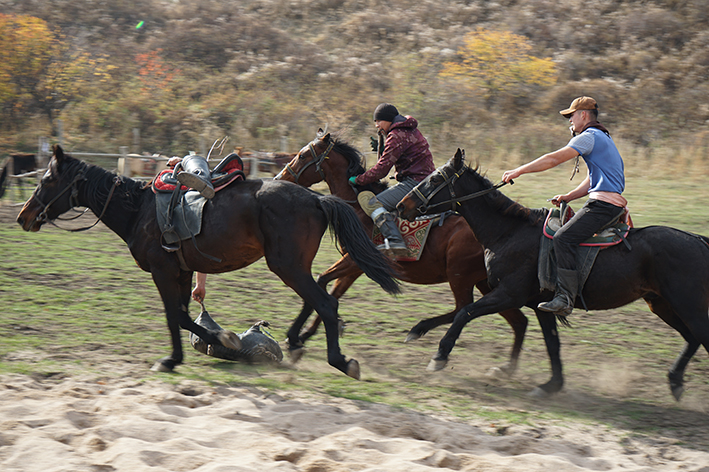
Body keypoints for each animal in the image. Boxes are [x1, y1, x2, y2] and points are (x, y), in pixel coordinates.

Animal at [15, 146, 398, 378]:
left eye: (47, 180)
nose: (23, 216)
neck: (139, 209)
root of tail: (318, 199)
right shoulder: (182, 272)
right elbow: (185, 315)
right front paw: (223, 342)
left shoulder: (162, 272)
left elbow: (174, 316)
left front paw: (176, 357)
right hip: (294, 268)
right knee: (319, 300)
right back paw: (299, 345)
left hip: (287, 266)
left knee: (326, 303)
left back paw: (340, 361)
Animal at [274, 133, 528, 376]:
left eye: (303, 155)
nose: (279, 178)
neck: (357, 208)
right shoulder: (356, 267)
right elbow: (333, 293)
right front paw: (309, 334)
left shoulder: (353, 261)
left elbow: (321, 282)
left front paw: (298, 337)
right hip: (487, 283)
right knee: (518, 320)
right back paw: (507, 369)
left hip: (461, 275)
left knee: (463, 308)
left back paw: (424, 337)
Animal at [398, 149, 708, 400]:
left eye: (435, 180)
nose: (402, 206)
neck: (509, 233)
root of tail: (698, 240)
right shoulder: (541, 305)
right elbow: (552, 344)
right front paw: (551, 386)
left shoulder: (508, 294)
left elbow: (464, 313)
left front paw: (439, 356)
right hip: (662, 305)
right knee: (692, 339)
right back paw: (675, 381)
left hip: (687, 307)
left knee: (699, 337)